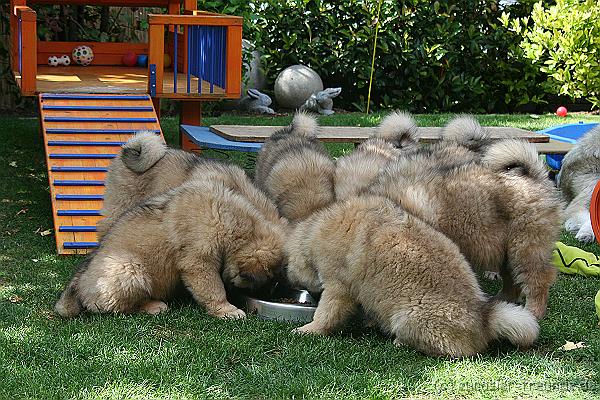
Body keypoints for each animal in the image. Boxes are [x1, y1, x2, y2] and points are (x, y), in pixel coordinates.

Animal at [55, 178, 288, 318]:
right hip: (128, 268)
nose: (272, 294)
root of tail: (79, 283)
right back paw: (152, 306)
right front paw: (226, 309)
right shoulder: (198, 262)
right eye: (269, 280)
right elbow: (213, 289)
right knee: (117, 307)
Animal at [286, 195, 540, 358]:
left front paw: (309, 330)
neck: (313, 232)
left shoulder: (338, 289)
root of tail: (484, 319)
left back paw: (401, 342)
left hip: (410, 318)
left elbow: (326, 314)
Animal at [370, 139, 564, 320]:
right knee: (512, 281)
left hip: (527, 247)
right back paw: (502, 300)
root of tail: (534, 176)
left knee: (537, 282)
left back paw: (533, 312)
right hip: (506, 250)